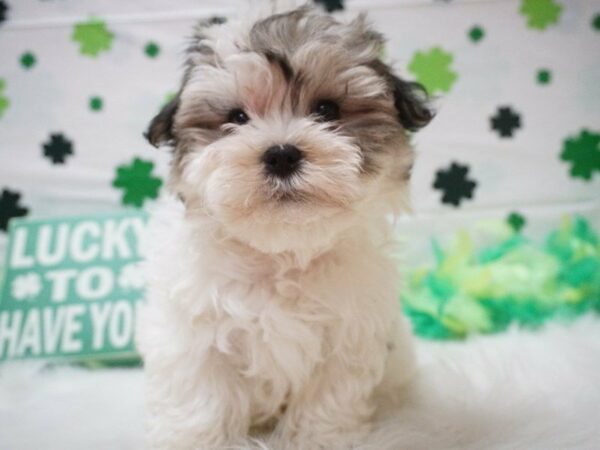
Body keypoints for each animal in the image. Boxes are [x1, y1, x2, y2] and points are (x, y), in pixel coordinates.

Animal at [137, 4, 432, 450]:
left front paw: (317, 440)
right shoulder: (194, 335)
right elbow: (202, 396)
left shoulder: (348, 336)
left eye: (327, 111)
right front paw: (194, 439)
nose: (280, 155)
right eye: (237, 117)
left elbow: (326, 402)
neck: (279, 255)